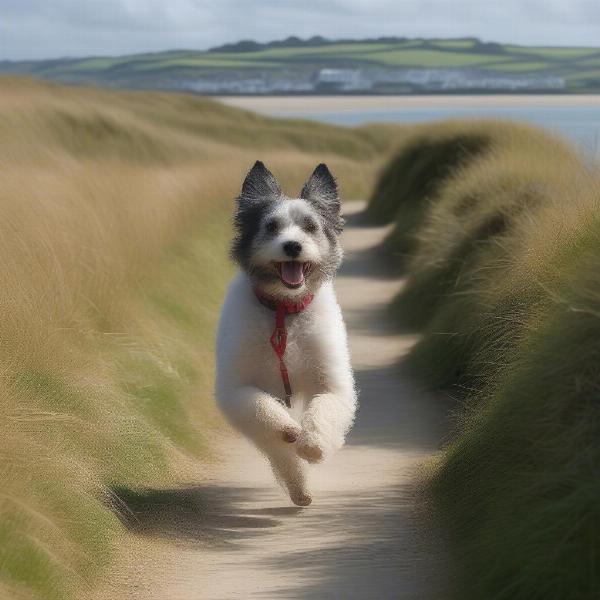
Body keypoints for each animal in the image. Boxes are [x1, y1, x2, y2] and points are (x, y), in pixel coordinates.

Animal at [216, 161, 356, 506]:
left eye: (310, 226)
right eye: (271, 226)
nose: (292, 245)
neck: (283, 312)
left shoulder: (332, 384)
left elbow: (323, 411)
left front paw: (313, 446)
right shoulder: (235, 388)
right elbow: (262, 410)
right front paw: (288, 431)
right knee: (277, 450)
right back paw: (299, 486)